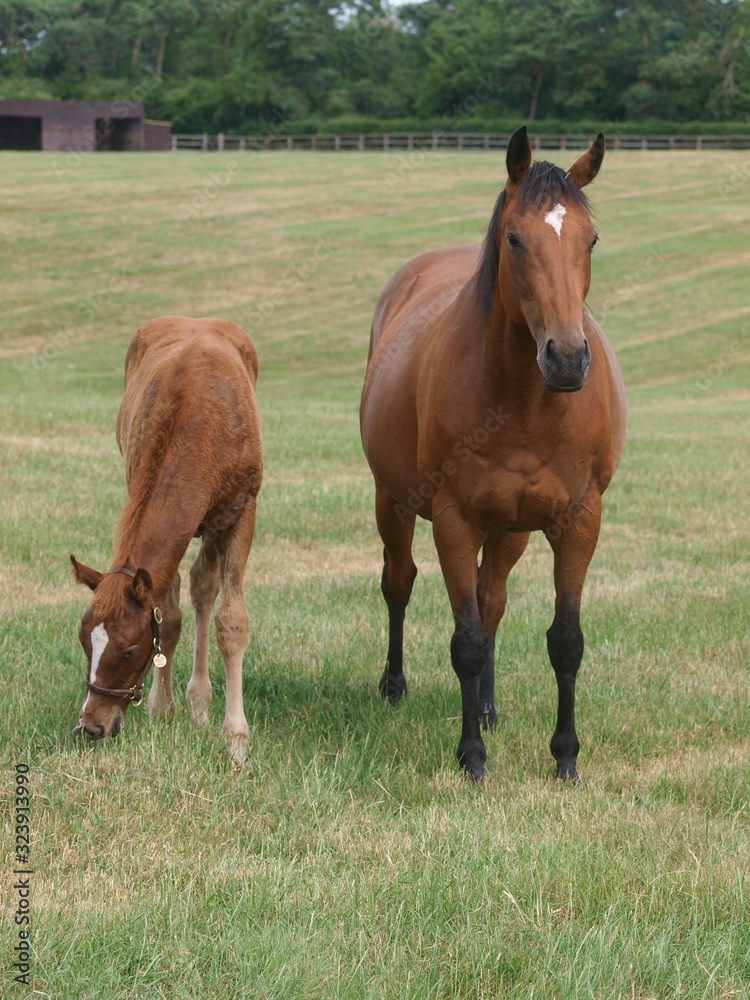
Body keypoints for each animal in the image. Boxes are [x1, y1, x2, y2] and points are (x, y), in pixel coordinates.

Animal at [71, 316, 263, 763]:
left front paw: (236, 738)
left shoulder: (242, 511)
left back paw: (201, 702)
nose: (91, 726)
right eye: (85, 642)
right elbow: (168, 615)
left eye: (127, 650)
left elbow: (231, 621)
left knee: (205, 587)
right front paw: (162, 707)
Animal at [360, 126, 626, 782]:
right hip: (392, 503)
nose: (567, 358)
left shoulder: (578, 519)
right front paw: (472, 758)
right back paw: (395, 685)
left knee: (492, 600)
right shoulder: (453, 520)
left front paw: (565, 757)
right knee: (399, 584)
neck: (525, 404)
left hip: (510, 528)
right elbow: (467, 641)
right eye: (514, 238)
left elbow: (564, 640)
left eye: (591, 239)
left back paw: (486, 707)